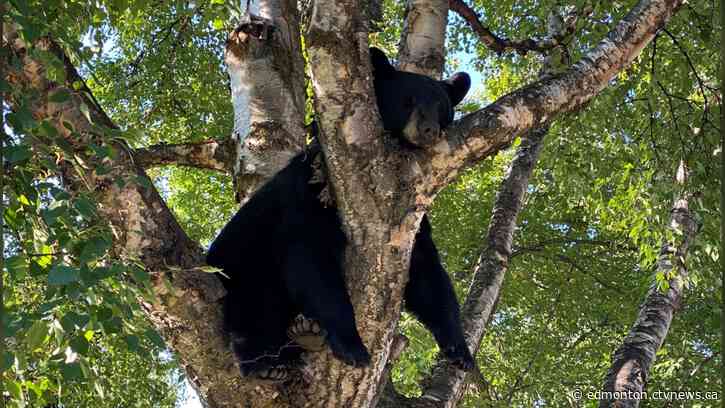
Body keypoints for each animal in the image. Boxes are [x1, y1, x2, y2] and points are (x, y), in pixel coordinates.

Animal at [206, 47, 474, 380]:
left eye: (440, 105)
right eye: (408, 100)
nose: (428, 131)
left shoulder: (409, 220)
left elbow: (427, 274)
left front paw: (460, 351)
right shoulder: (311, 193)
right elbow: (312, 260)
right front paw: (352, 346)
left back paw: (303, 334)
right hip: (240, 264)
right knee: (251, 307)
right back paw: (268, 362)